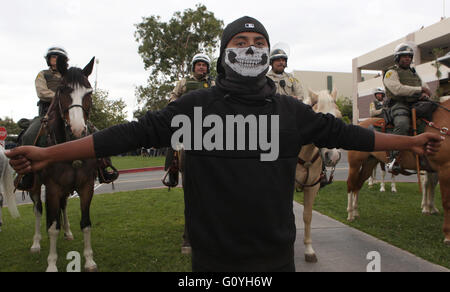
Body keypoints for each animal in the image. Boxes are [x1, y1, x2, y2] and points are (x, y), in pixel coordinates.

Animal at [27, 57, 99, 272]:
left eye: (89, 92)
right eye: (63, 90)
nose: (77, 130)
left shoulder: (86, 186)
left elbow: (85, 223)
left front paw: (89, 260)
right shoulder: (52, 188)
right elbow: (52, 228)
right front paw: (51, 263)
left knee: (64, 206)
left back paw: (67, 232)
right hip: (35, 186)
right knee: (38, 210)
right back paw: (36, 243)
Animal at [346, 97, 450, 244]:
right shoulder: (445, 168)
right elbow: (447, 202)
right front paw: (447, 235)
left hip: (369, 163)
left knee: (358, 185)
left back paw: (355, 212)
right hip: (355, 164)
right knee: (351, 185)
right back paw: (350, 213)